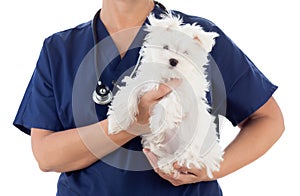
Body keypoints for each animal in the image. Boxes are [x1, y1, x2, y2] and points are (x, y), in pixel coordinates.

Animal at [108, 13, 223, 178]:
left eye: (185, 53)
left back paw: (168, 164)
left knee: (185, 158)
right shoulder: (144, 80)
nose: (173, 60)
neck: (167, 77)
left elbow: (169, 102)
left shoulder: (183, 93)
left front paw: (158, 123)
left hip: (193, 144)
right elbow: (128, 93)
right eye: (166, 47)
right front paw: (117, 122)